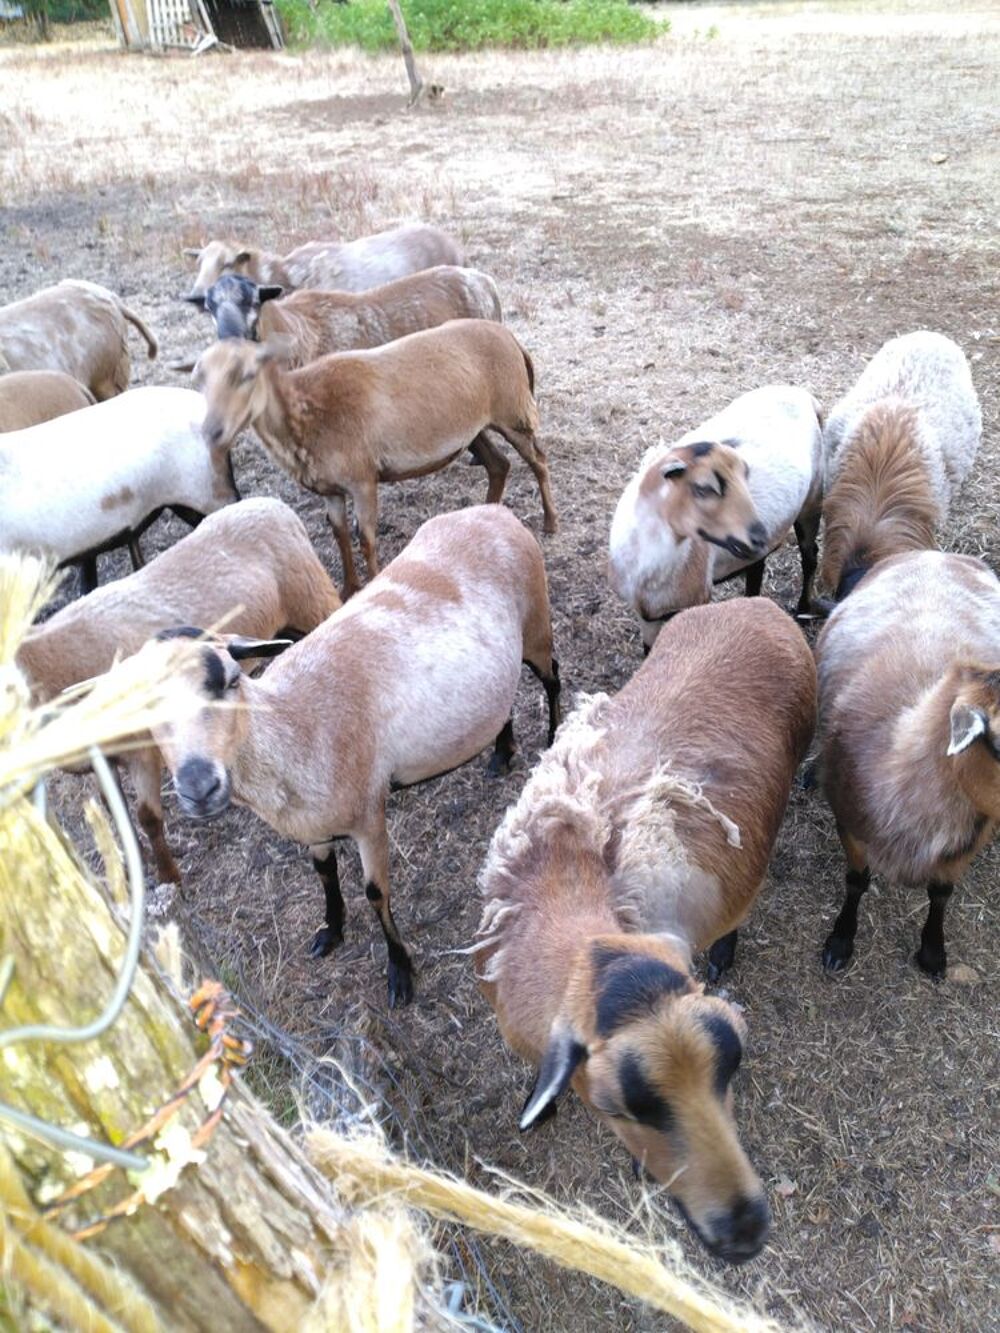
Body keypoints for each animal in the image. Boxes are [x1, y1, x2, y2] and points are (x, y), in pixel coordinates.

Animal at [18, 497, 340, 885]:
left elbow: (147, 816)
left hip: (313, 598)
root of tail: (269, 502)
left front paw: (170, 877)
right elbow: (116, 814)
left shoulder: (142, 749)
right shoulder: (103, 759)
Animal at [137, 505, 561, 1009]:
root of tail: (494, 511)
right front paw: (331, 931)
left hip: (536, 623)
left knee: (552, 677)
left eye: (230, 679)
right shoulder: (312, 827)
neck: (294, 726)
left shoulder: (367, 816)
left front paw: (400, 972)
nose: (199, 785)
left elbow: (375, 892)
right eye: (143, 705)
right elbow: (324, 875)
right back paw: (500, 752)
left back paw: (554, 738)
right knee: (505, 694)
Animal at [194, 320, 557, 598]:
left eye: (246, 374)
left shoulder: (362, 479)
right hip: (473, 428)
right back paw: (485, 514)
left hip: (513, 412)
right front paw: (347, 589)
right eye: (199, 380)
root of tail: (510, 337)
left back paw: (550, 523)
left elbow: (366, 538)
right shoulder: (330, 488)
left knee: (538, 461)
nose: (212, 431)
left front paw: (370, 585)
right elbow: (340, 535)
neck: (306, 412)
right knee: (499, 465)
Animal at [609, 385, 824, 651]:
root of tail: (803, 395)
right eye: (704, 488)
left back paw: (803, 609)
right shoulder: (647, 617)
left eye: (745, 476)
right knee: (757, 566)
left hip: (812, 498)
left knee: (810, 555)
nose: (758, 536)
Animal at [816, 549, 1000, 978]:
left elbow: (941, 893)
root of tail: (937, 554)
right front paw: (840, 941)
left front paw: (933, 952)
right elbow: (856, 881)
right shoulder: (851, 825)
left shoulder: (967, 840)